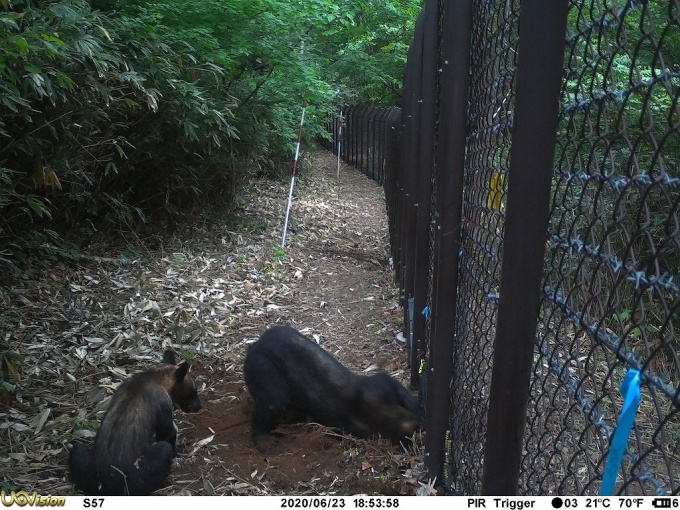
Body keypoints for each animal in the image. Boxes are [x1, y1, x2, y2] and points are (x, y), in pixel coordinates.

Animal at [69, 350, 202, 494]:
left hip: (77, 449)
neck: (155, 376)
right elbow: (170, 436)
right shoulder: (165, 415)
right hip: (161, 452)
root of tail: (107, 486)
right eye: (193, 390)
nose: (199, 406)